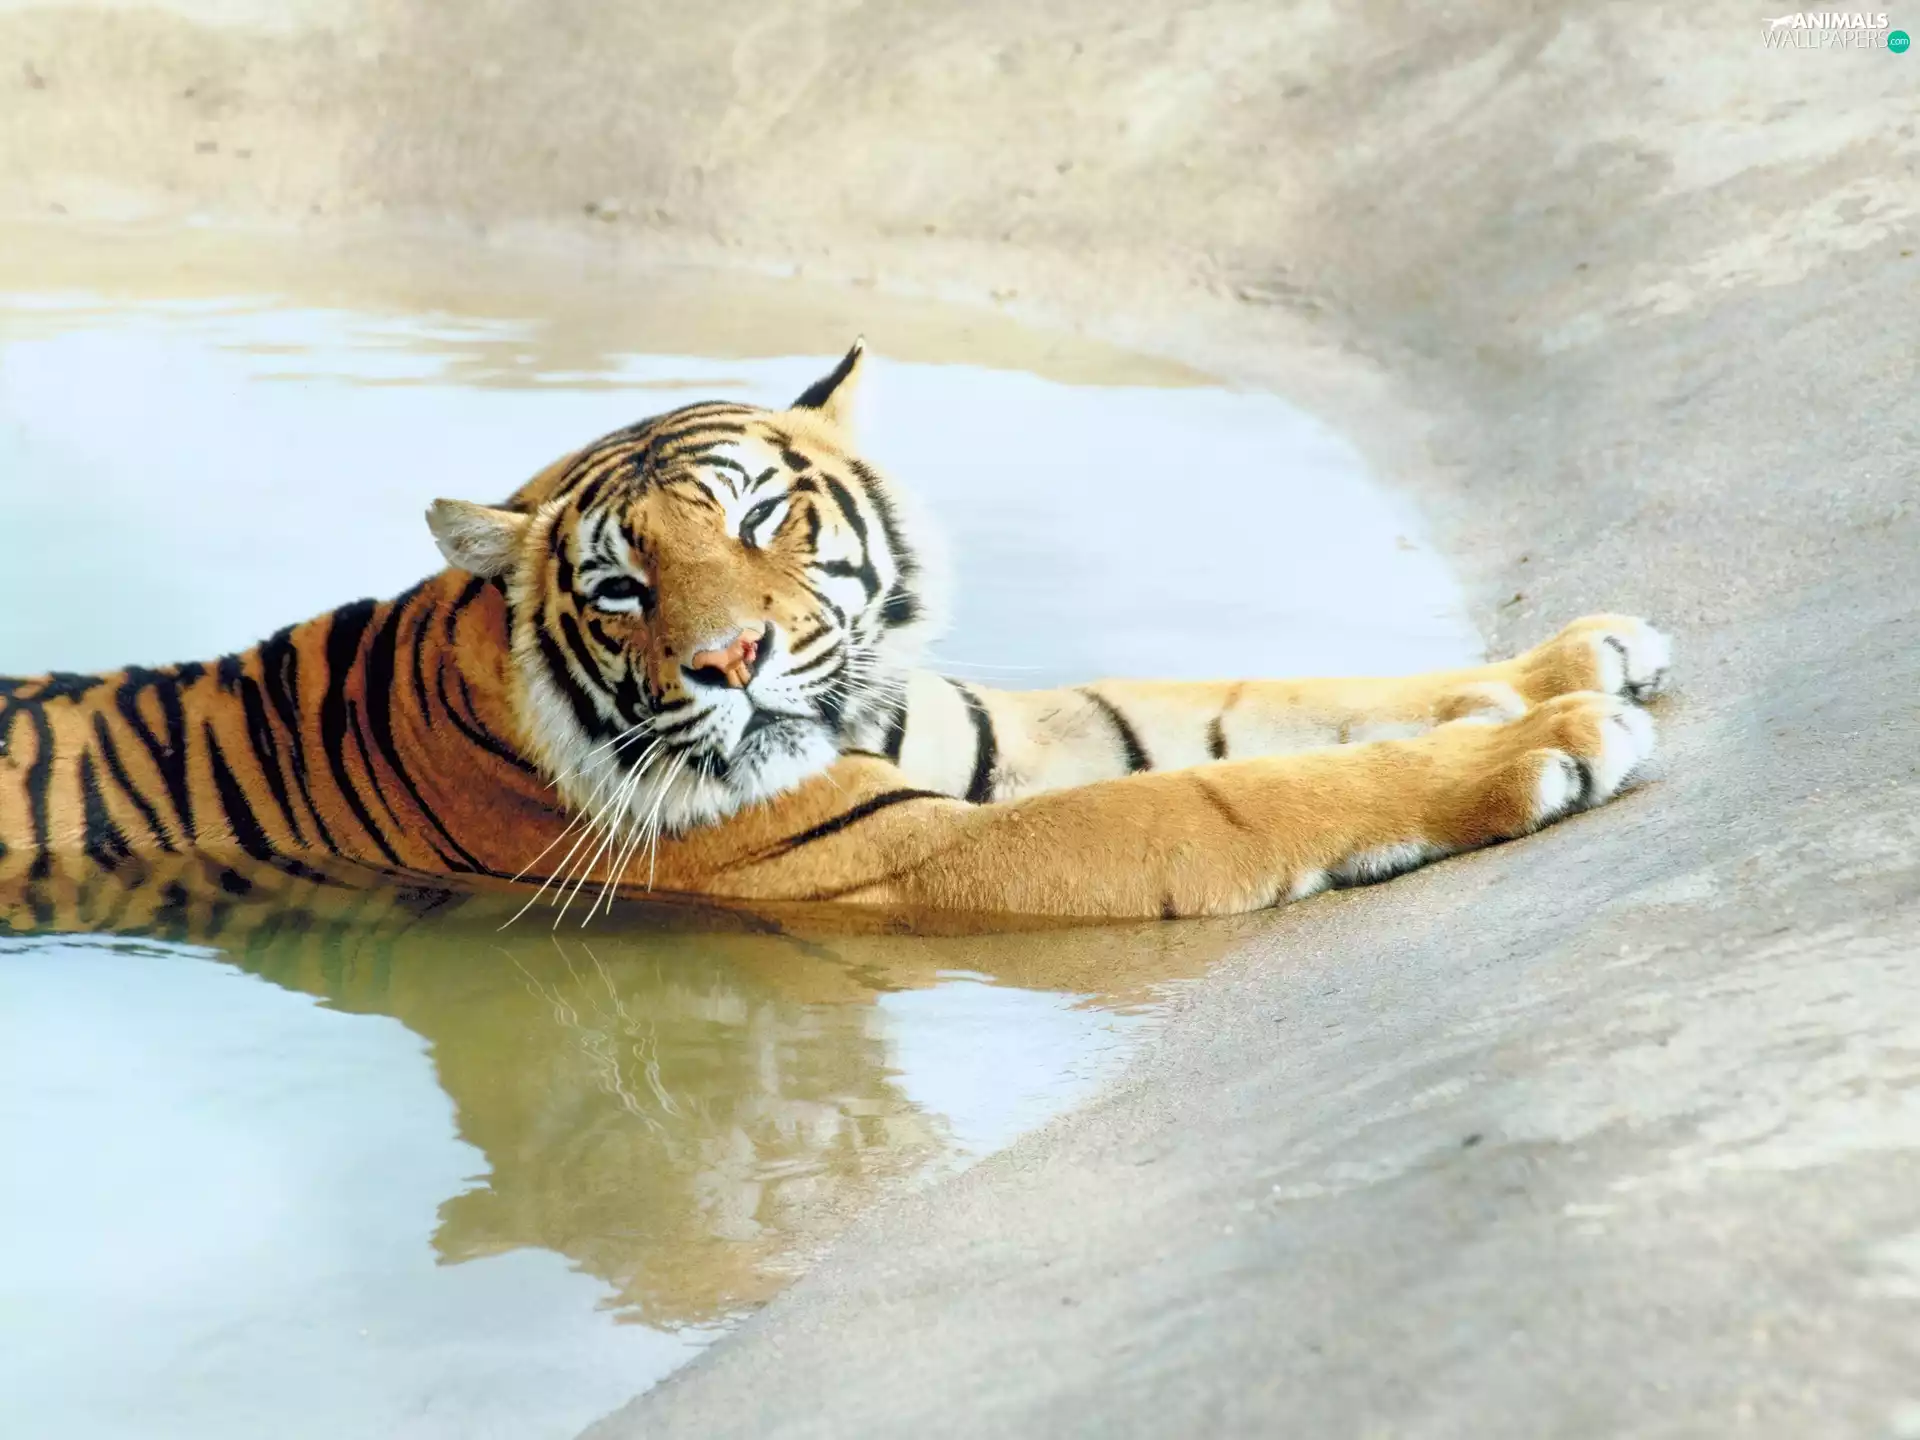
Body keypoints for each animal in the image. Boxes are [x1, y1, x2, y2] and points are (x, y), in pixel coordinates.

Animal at [0, 340, 1672, 927]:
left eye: (757, 519)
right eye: (620, 588)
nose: (732, 663)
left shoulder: (980, 732)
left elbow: (1243, 701)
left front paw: (1578, 657)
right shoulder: (915, 846)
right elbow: (1229, 790)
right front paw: (1564, 738)